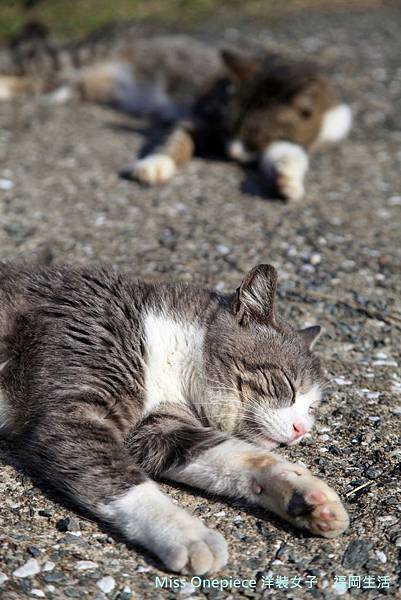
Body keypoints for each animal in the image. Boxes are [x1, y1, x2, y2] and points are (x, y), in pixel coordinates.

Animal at [0, 22, 352, 200]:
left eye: (256, 135)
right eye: (228, 127)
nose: (231, 155)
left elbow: (290, 151)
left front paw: (287, 178)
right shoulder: (199, 119)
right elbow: (176, 141)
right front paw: (155, 164)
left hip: (72, 79)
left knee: (45, 82)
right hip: (68, 58)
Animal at [0, 264, 346, 576]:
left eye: (312, 409)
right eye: (287, 384)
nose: (301, 430)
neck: (169, 349)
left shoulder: (158, 430)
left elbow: (231, 455)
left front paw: (299, 490)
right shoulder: (75, 412)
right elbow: (122, 482)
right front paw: (186, 533)